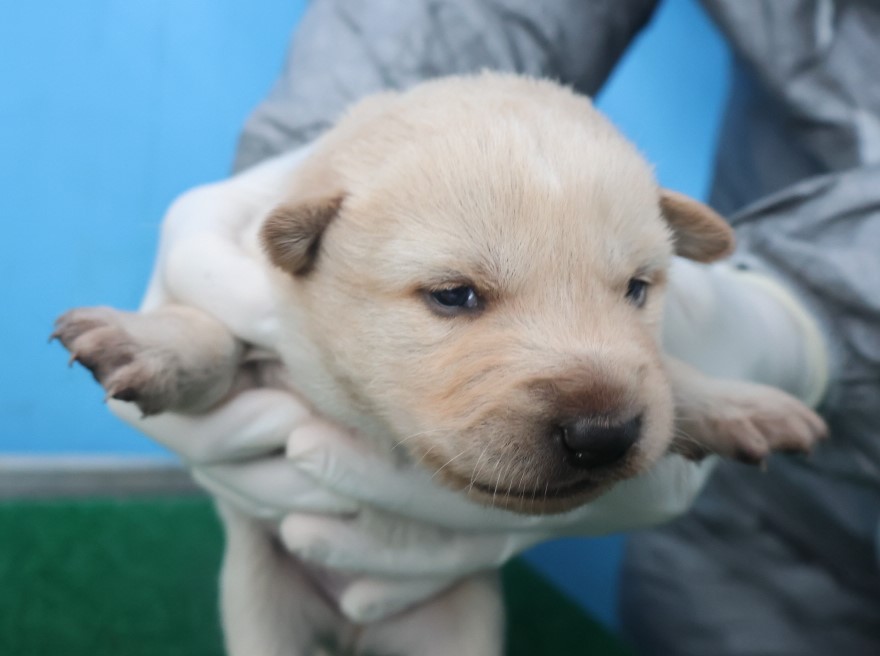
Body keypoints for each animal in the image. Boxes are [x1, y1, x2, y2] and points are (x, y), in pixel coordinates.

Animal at [53, 73, 824, 656]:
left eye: (637, 289)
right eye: (454, 295)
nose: (603, 436)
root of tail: (355, 632)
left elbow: (669, 372)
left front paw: (738, 401)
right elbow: (216, 333)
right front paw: (150, 339)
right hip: (263, 608)